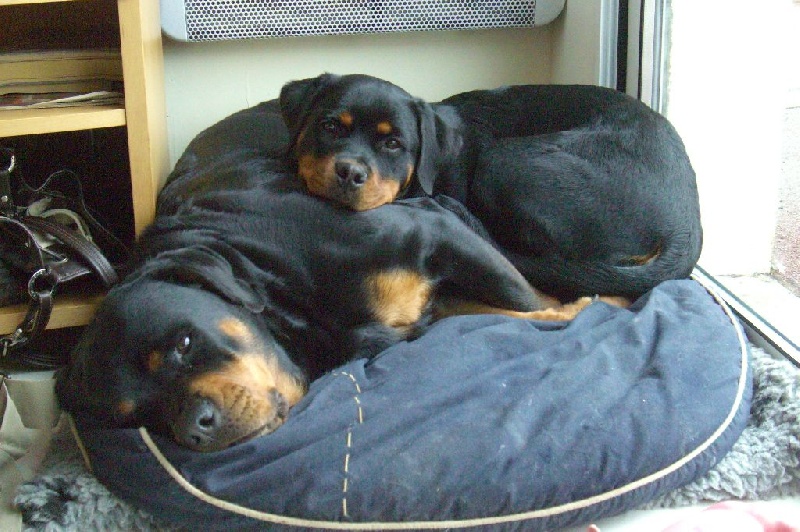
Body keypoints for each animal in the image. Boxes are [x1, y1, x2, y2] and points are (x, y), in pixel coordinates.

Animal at [56, 102, 621, 452]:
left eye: (184, 343)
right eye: (138, 416)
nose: (195, 429)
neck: (281, 281)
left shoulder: (434, 231)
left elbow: (527, 302)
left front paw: (592, 306)